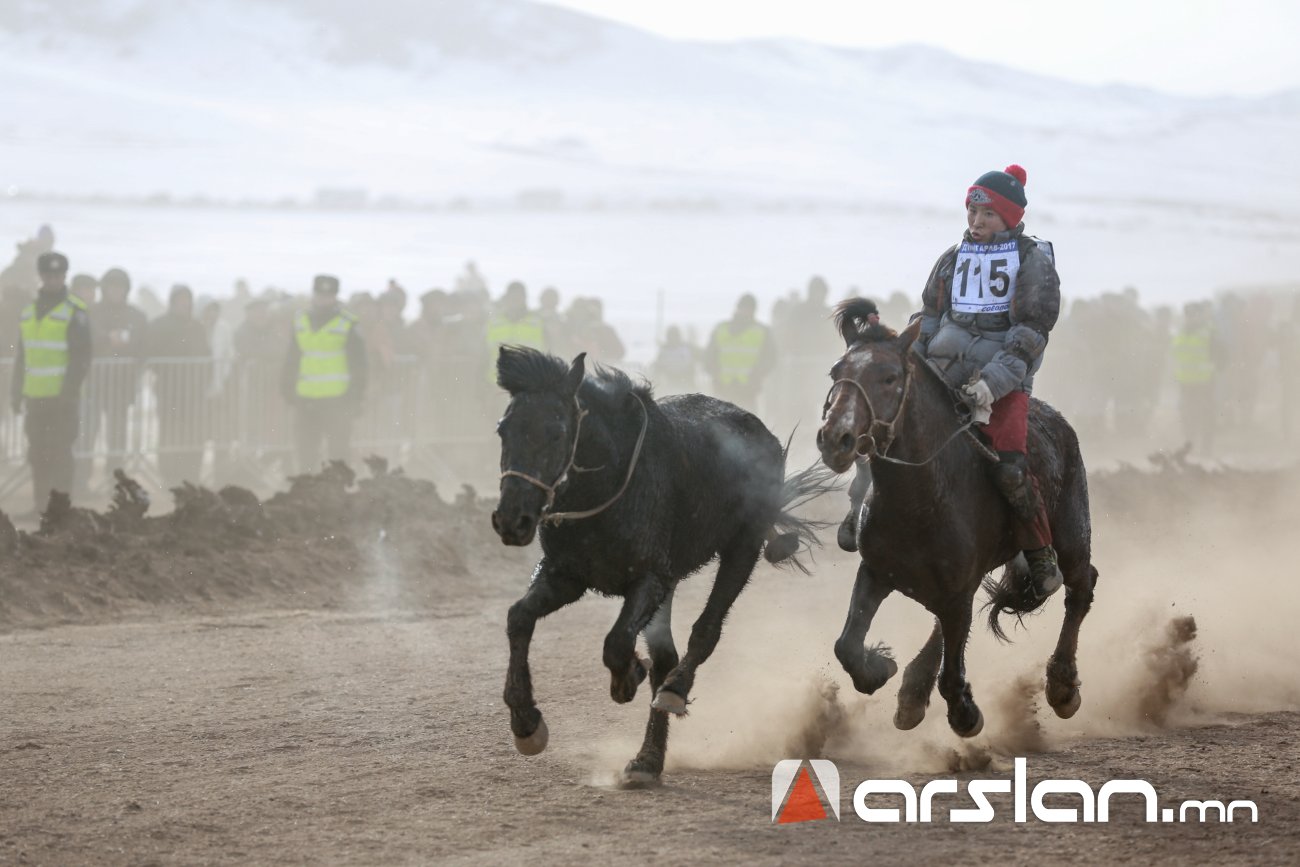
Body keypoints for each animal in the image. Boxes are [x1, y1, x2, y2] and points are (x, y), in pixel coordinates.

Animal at [491, 348, 826, 785]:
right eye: (503, 429)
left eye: (557, 432)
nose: (511, 520)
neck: (608, 485)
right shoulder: (565, 575)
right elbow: (519, 617)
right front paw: (526, 723)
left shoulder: (652, 577)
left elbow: (618, 642)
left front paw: (628, 676)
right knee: (667, 654)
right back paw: (648, 758)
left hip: (743, 545)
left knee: (704, 632)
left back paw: (673, 693)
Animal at [811, 301, 1097, 738]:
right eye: (835, 372)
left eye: (889, 376)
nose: (835, 439)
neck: (920, 498)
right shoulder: (876, 572)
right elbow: (847, 646)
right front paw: (881, 668)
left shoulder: (958, 589)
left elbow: (951, 674)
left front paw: (966, 713)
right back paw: (912, 693)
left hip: (1071, 536)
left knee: (1080, 586)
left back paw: (1062, 686)